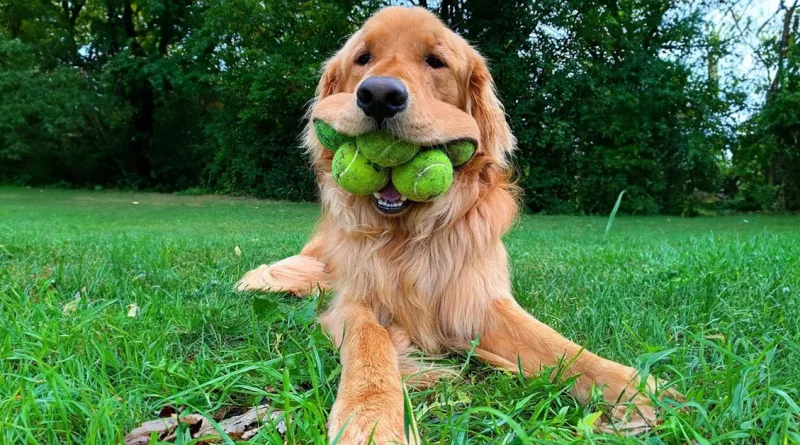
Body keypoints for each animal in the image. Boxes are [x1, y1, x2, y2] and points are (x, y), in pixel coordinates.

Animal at [234, 6, 680, 440]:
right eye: (363, 58)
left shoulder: (476, 298)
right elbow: (370, 343)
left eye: (436, 61)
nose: (379, 95)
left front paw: (634, 388)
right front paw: (372, 418)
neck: (408, 234)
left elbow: (558, 346)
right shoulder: (355, 301)